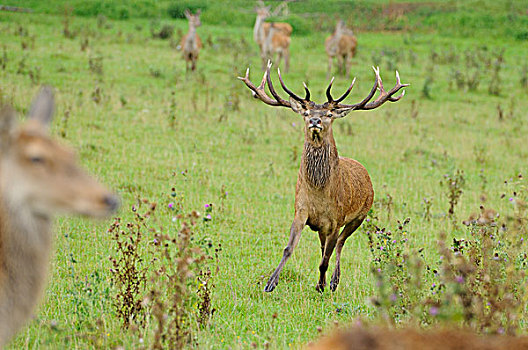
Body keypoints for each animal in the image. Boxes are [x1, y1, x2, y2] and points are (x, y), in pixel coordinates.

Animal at [239, 63, 408, 292]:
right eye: (306, 112)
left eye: (328, 113)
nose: (315, 120)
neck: (319, 192)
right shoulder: (301, 211)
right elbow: (289, 248)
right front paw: (270, 283)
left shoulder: (336, 220)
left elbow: (326, 258)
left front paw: (321, 285)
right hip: (324, 227)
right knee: (325, 246)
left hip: (360, 215)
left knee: (339, 244)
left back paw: (334, 281)